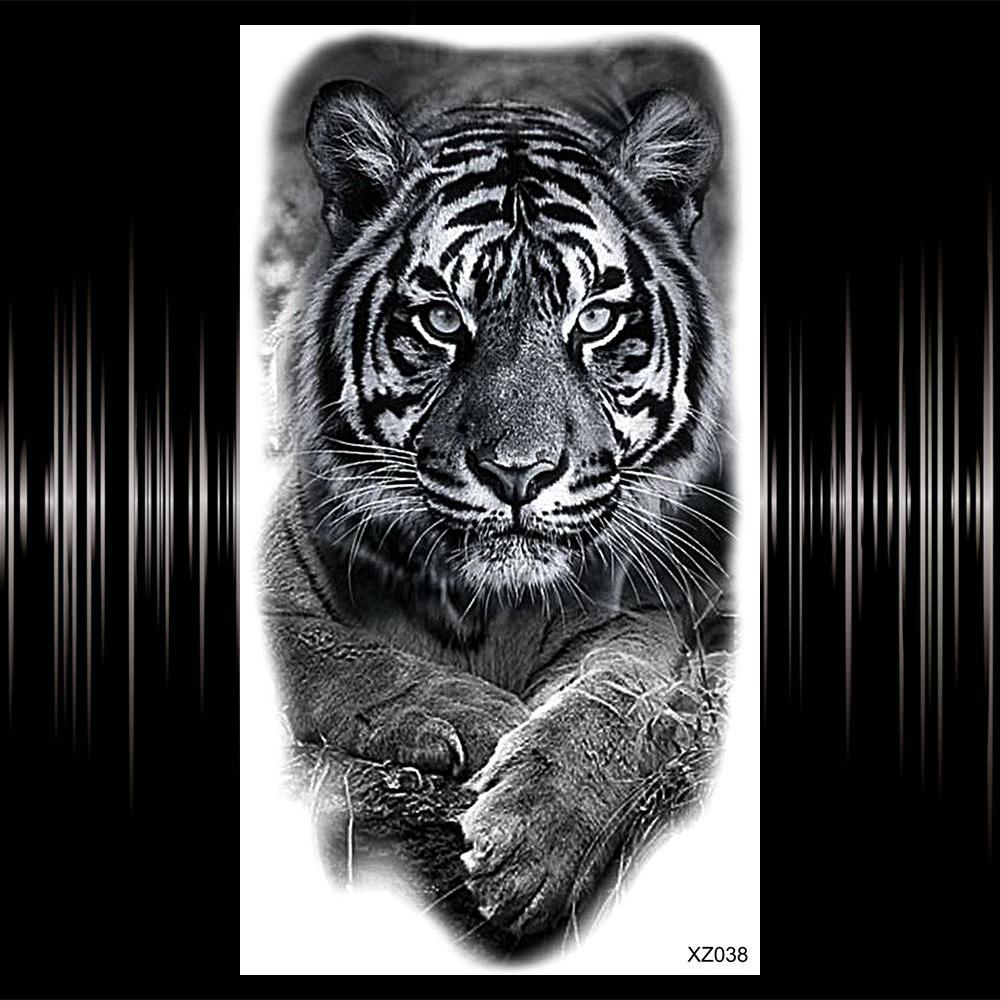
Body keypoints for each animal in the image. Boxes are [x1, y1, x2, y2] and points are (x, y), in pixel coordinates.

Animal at [261, 51, 735, 945]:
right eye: (444, 321)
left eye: (595, 320)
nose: (518, 472)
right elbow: (336, 652)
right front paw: (473, 715)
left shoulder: (642, 617)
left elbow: (612, 698)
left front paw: (534, 838)